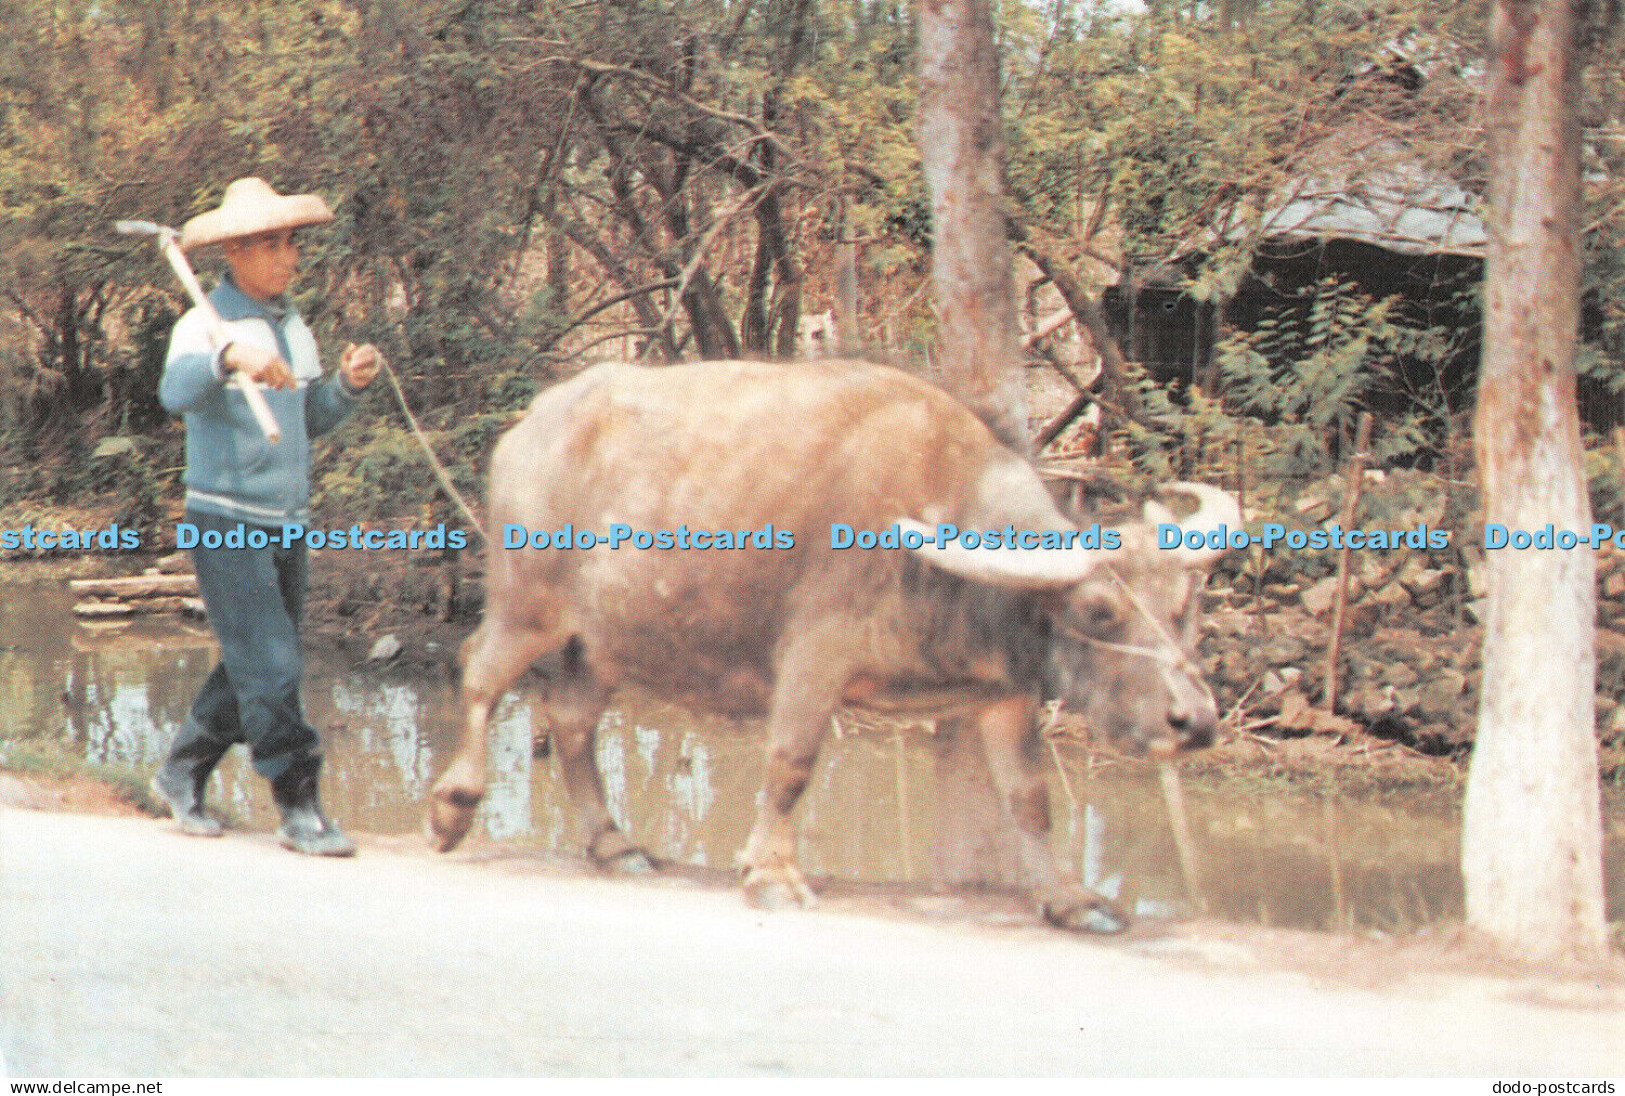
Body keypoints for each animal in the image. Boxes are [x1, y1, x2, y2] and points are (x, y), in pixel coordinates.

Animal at [425, 357, 1235, 930]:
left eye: (1183, 606)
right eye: (1099, 610)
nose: (1194, 721)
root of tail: (530, 426)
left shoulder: (1008, 694)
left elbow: (1030, 798)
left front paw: (1070, 899)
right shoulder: (814, 658)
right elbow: (790, 765)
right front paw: (773, 877)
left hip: (607, 641)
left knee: (570, 718)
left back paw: (613, 844)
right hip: (527, 604)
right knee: (480, 676)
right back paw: (453, 807)